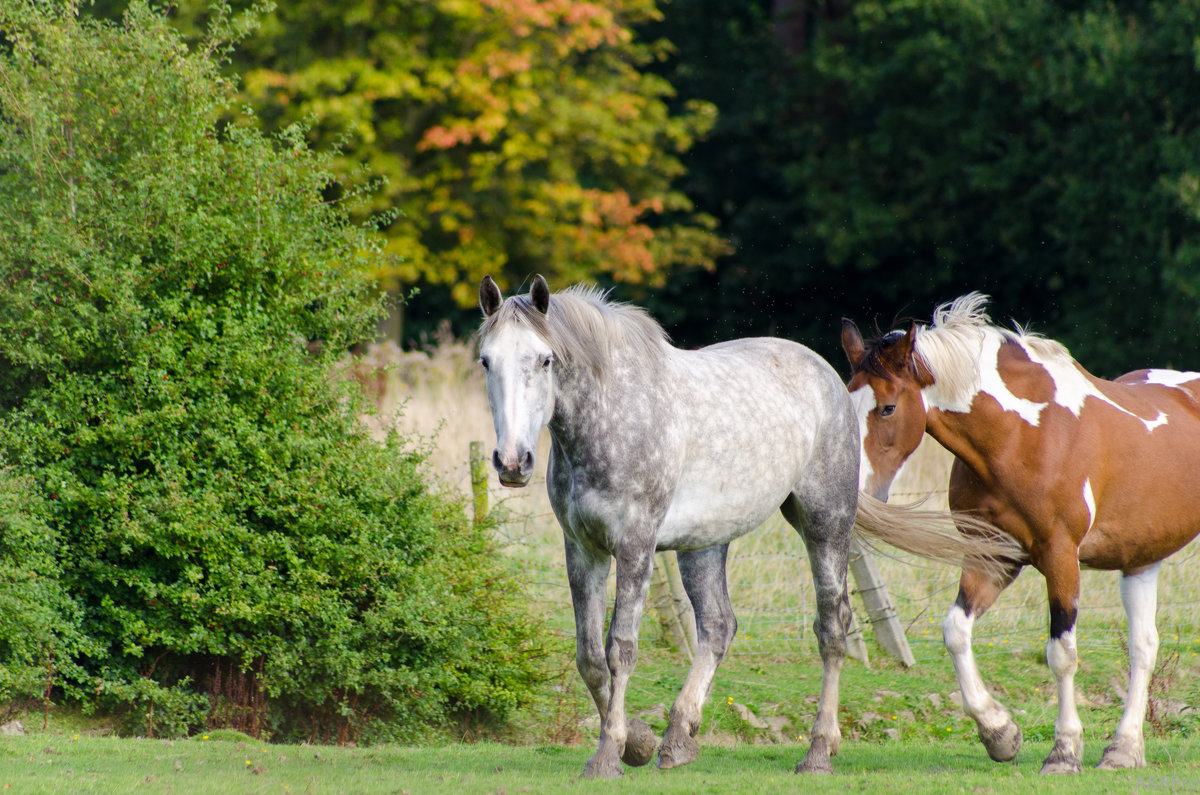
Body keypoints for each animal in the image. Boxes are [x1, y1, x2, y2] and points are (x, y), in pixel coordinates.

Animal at [477, 276, 1012, 778]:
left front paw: (609, 754)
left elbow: (620, 649)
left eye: (545, 360)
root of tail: (827, 377)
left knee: (831, 628)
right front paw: (638, 742)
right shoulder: (582, 549)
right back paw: (678, 740)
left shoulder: (635, 546)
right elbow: (589, 657)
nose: (512, 461)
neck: (611, 417)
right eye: (486, 361)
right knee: (718, 626)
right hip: (705, 542)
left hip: (826, 525)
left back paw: (819, 751)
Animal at [840, 294, 1200, 778]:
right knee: (1143, 648)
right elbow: (955, 631)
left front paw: (1063, 752)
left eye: (887, 408)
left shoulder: (1060, 556)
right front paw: (1000, 733)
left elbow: (1062, 654)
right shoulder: (992, 557)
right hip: (1141, 559)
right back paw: (1123, 749)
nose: (853, 491)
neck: (1022, 435)